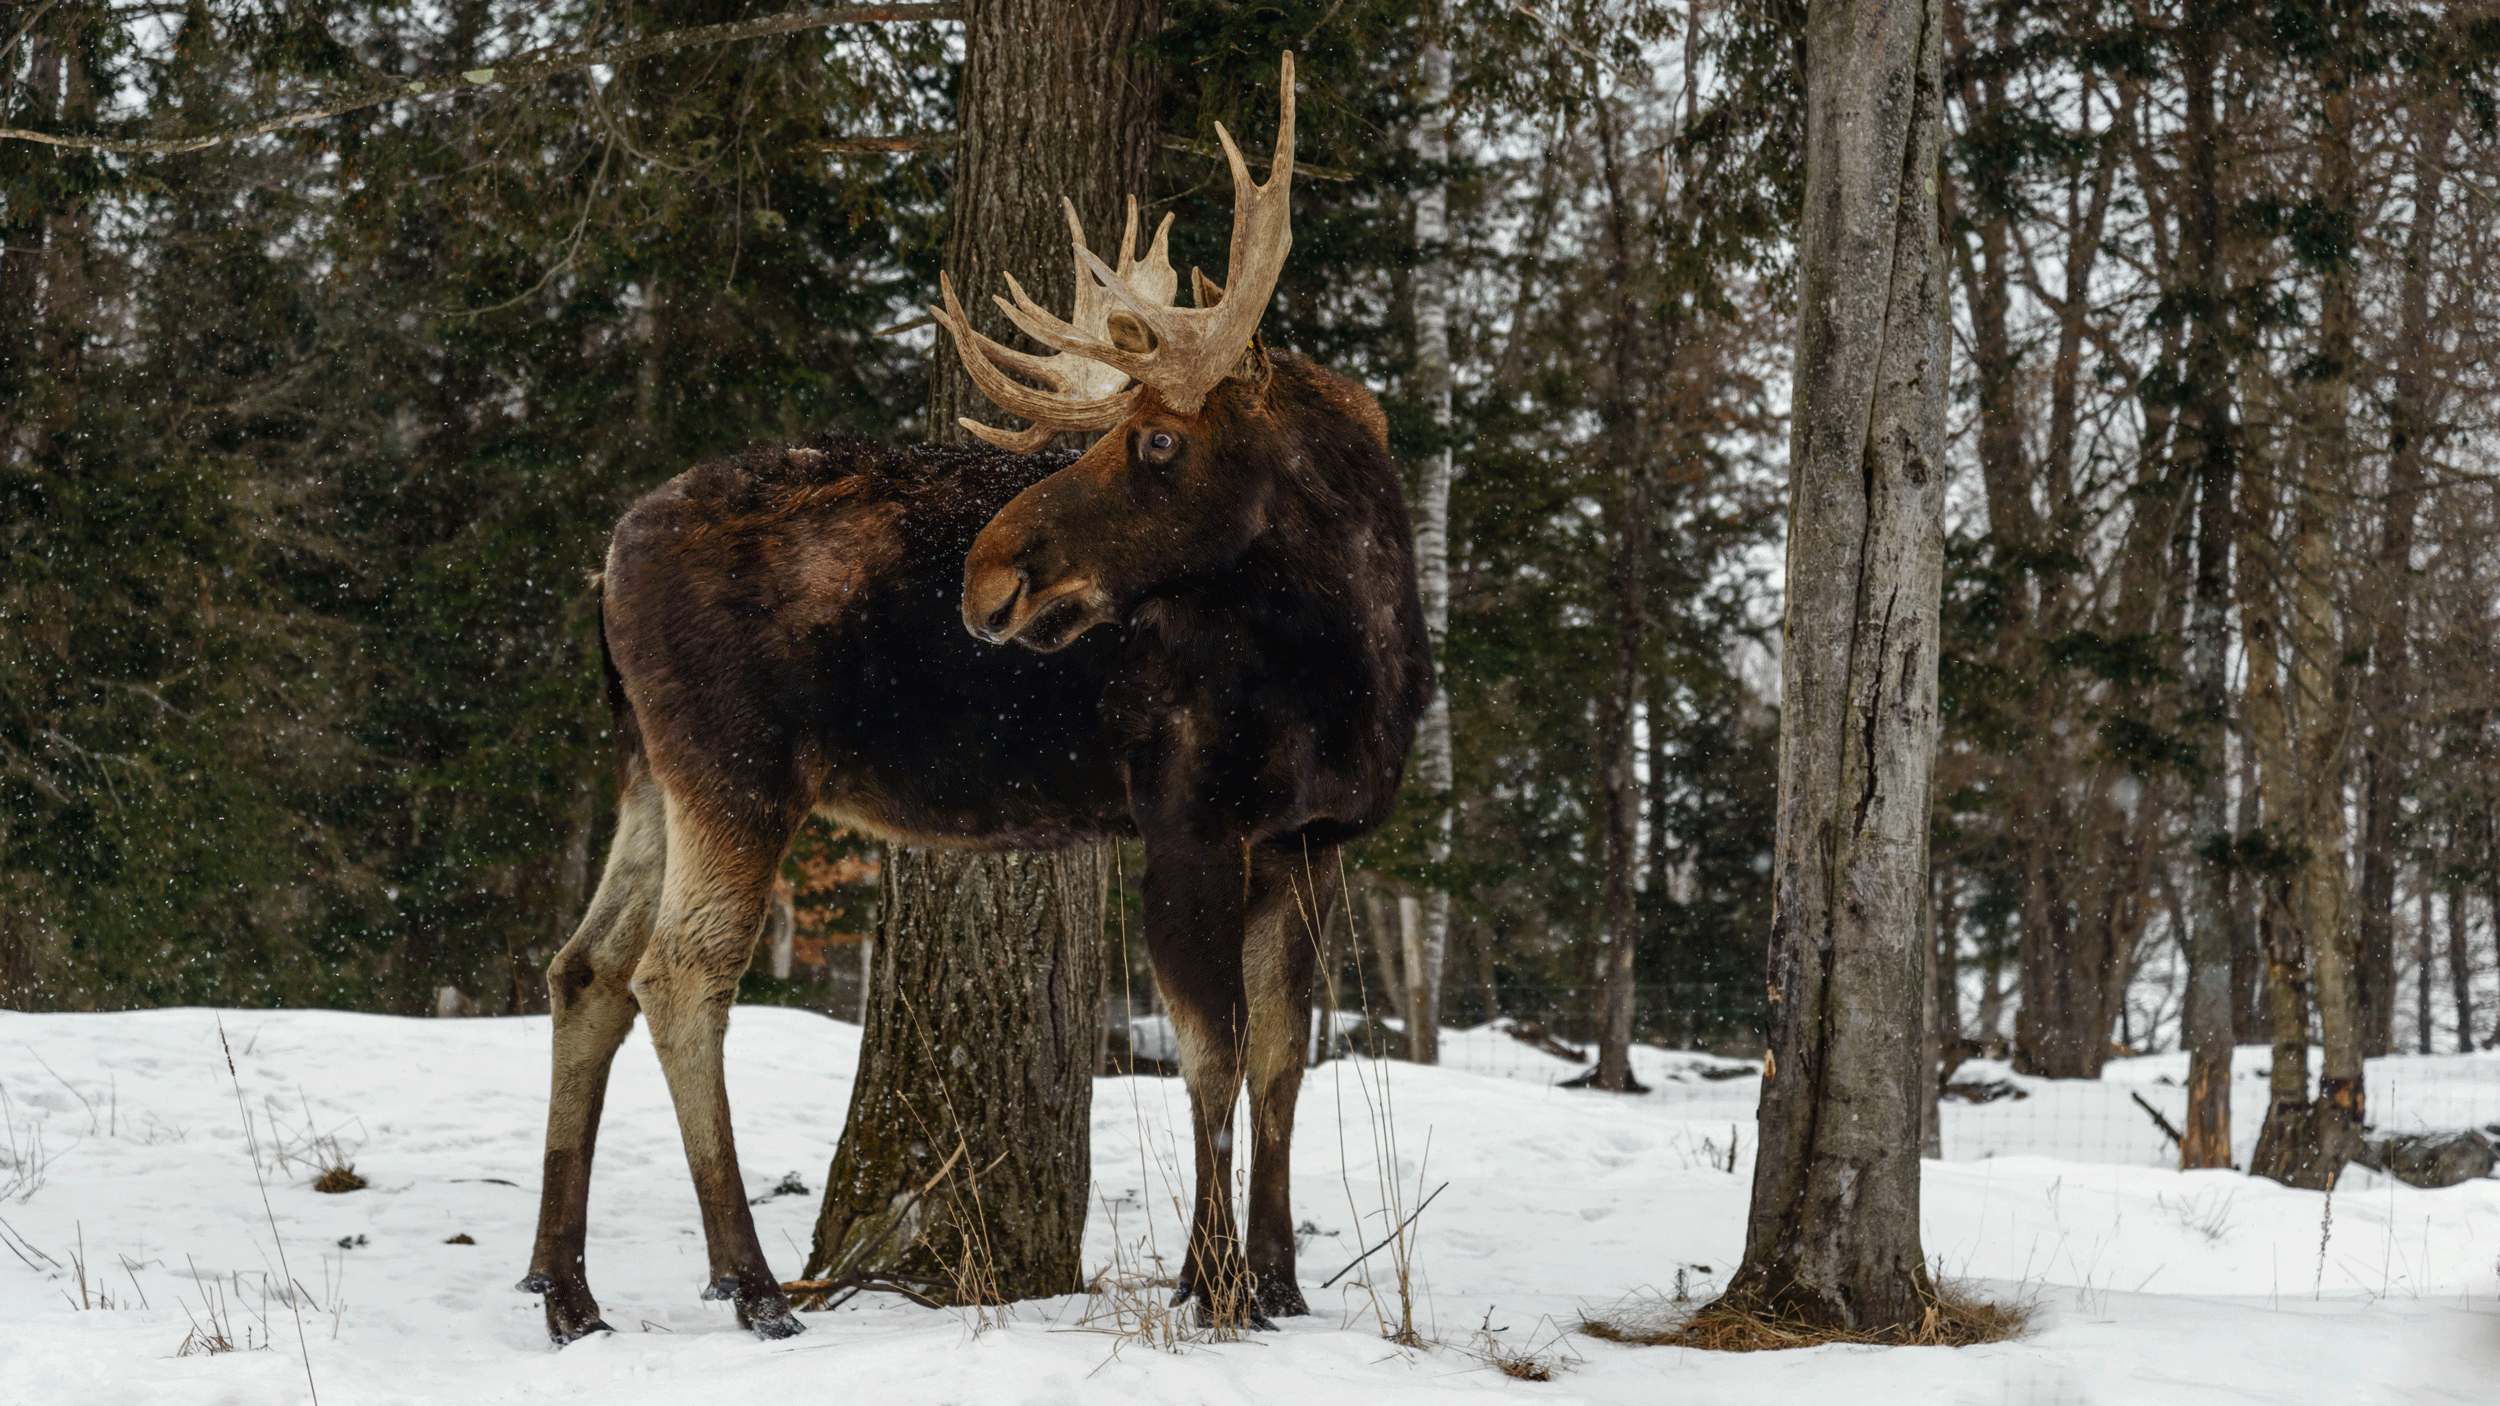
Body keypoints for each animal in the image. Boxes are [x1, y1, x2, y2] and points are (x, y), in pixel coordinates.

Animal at [516, 54, 1431, 1344]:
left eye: (1155, 439)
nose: (990, 574)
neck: (1355, 661)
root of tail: (603, 561)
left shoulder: (1316, 837)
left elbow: (1282, 1057)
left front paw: (1280, 1282)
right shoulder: (1186, 822)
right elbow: (1209, 1056)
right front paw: (1209, 1282)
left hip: (651, 769)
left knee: (584, 967)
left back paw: (566, 1285)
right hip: (735, 773)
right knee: (678, 972)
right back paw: (751, 1283)